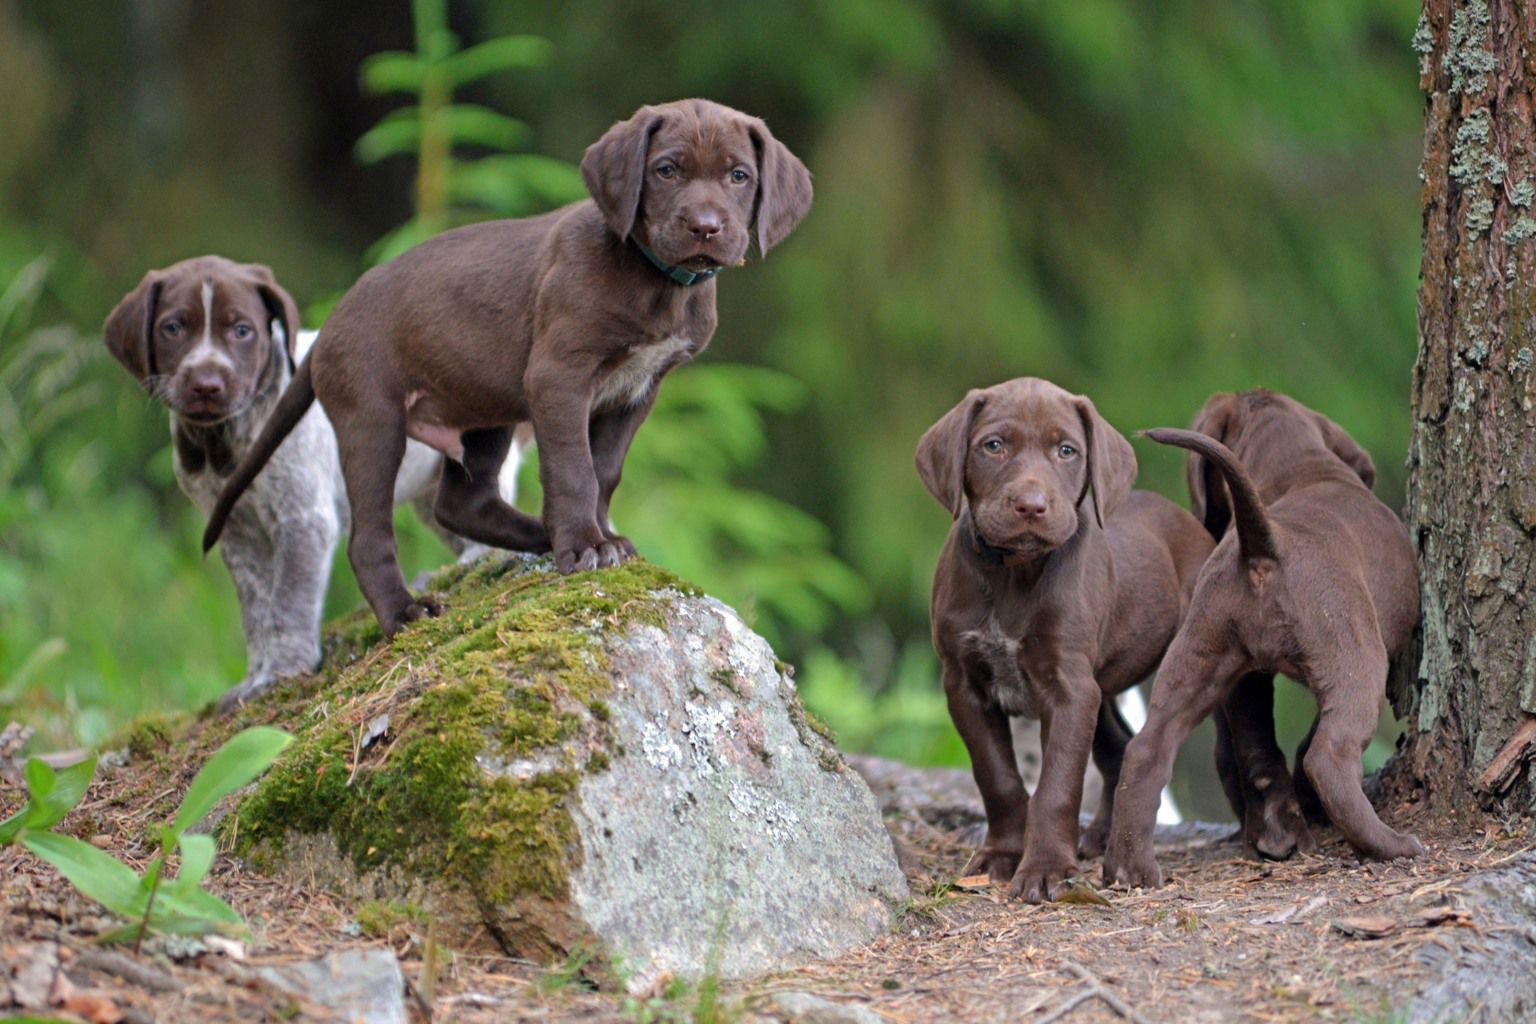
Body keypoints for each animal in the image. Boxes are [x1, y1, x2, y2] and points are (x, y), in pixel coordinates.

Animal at [108, 254, 525, 712]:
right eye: (172, 328)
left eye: (242, 330)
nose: (206, 386)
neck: (221, 443)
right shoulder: (237, 534)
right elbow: (256, 613)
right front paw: (254, 678)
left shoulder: (303, 522)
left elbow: (286, 606)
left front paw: (281, 672)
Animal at [915, 380, 1216, 902]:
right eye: (994, 445)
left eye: (1066, 451)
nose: (1032, 506)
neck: (1014, 573)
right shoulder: (965, 685)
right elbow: (997, 777)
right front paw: (1001, 856)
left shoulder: (1069, 688)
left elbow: (1057, 785)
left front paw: (1047, 869)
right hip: (1103, 686)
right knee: (1117, 749)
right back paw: (1099, 837)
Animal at [1105, 393, 1425, 890]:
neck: (1300, 468)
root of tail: (1267, 544)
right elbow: (1306, 740)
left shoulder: (1245, 679)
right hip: (1356, 658)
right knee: (1328, 754)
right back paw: (1389, 845)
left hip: (1197, 657)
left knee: (1146, 751)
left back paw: (1130, 868)